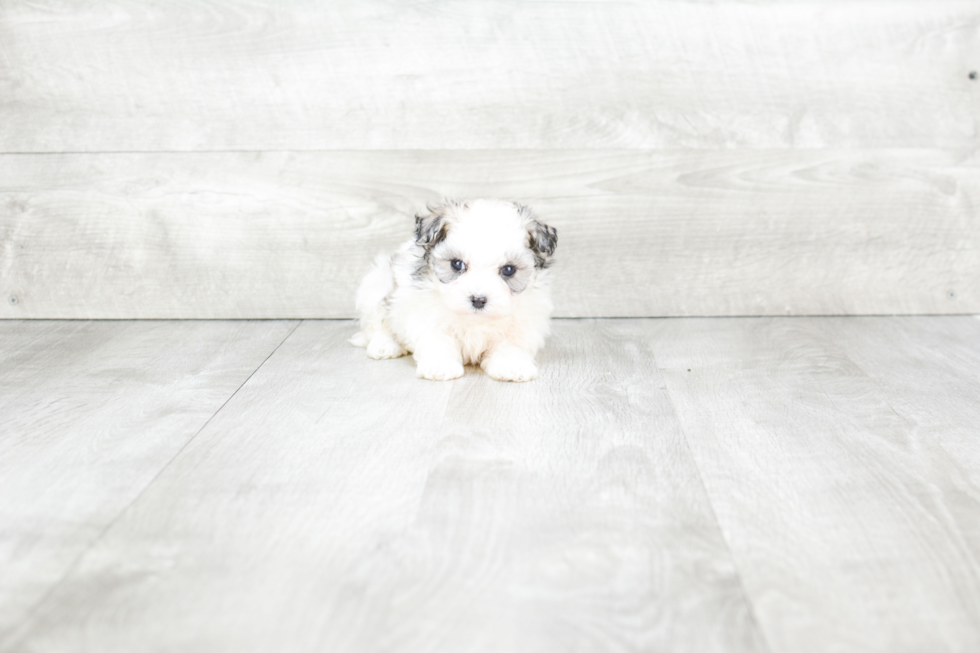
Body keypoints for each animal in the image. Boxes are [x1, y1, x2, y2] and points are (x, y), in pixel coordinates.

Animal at [350, 199, 560, 382]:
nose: (478, 300)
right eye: (457, 264)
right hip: (378, 284)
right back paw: (385, 345)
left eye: (508, 270)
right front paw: (439, 367)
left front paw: (512, 366)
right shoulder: (426, 314)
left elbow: (510, 345)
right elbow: (438, 340)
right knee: (379, 324)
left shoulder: (523, 321)